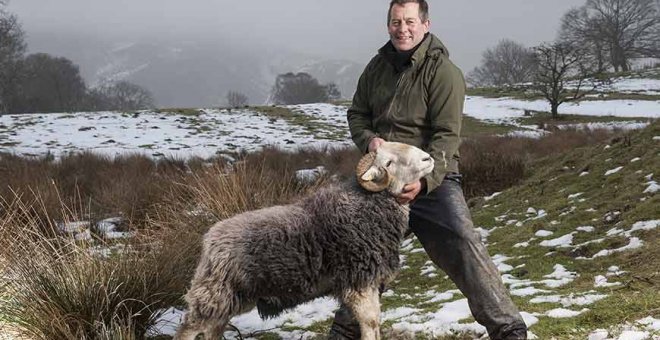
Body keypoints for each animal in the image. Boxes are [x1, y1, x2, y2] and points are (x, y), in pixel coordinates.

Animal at [173, 142, 436, 338]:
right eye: (388, 162)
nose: (428, 158)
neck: (365, 205)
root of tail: (209, 240)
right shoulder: (359, 283)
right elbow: (371, 324)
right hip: (214, 293)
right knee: (188, 329)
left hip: (230, 297)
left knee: (212, 330)